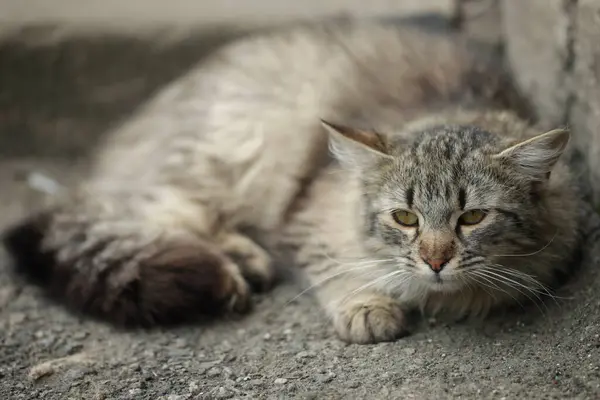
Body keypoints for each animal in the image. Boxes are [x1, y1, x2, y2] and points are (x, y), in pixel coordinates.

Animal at [1, 20, 580, 344]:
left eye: (472, 217)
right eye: (405, 217)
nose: (436, 260)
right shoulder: (305, 213)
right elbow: (335, 268)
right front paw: (367, 308)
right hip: (230, 149)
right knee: (152, 213)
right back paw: (237, 267)